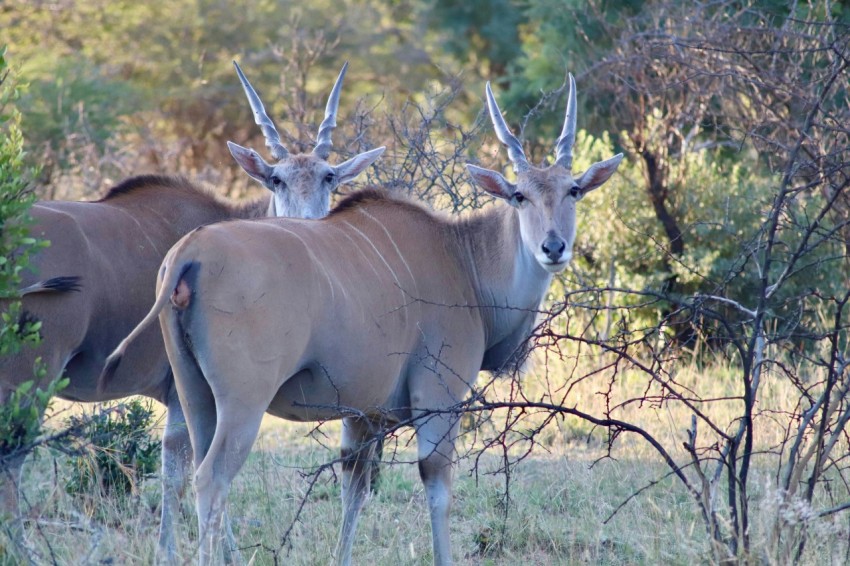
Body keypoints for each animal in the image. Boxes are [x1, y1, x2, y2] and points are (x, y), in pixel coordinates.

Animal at [2, 61, 380, 560]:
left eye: (329, 177)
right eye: (276, 179)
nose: (307, 230)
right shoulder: (185, 393)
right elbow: (184, 469)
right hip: (32, 374)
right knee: (12, 457)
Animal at [102, 76, 620, 566]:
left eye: (573, 190)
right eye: (519, 195)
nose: (553, 247)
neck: (463, 258)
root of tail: (189, 252)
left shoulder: (363, 415)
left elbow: (354, 490)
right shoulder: (439, 398)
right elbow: (437, 489)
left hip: (194, 395)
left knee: (189, 467)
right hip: (243, 401)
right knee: (211, 479)